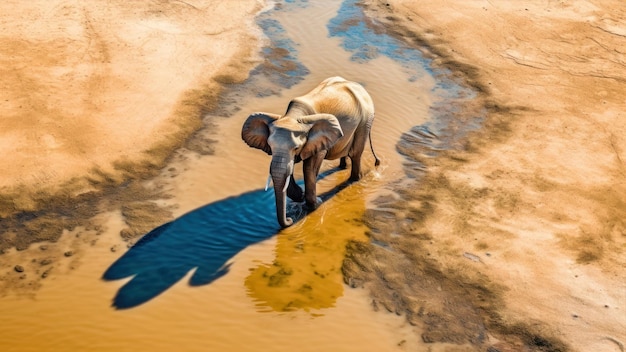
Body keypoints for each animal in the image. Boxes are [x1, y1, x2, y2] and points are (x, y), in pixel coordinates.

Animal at [240, 75, 378, 227]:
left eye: (296, 148)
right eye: (270, 146)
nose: (290, 219)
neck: (293, 116)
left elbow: (309, 168)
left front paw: (315, 204)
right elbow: (289, 168)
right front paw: (300, 195)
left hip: (365, 120)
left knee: (355, 154)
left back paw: (354, 180)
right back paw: (342, 168)